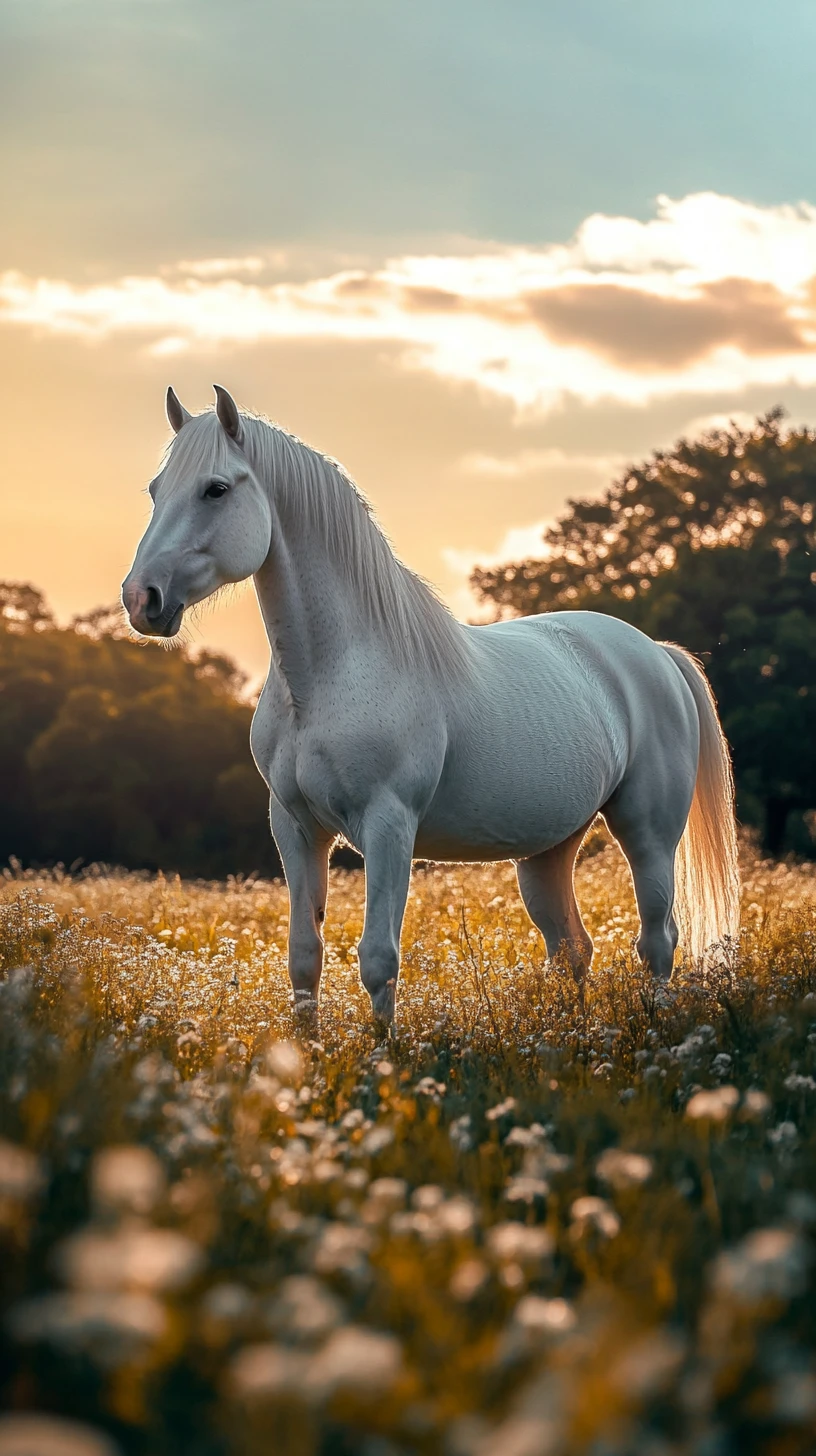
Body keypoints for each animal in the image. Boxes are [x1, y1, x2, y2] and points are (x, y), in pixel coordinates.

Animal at [123, 385, 740, 1026]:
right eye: (156, 489)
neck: (325, 680)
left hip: (648, 833)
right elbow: (303, 959)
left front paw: (382, 1053)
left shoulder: (388, 825)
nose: (142, 600)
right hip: (548, 851)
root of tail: (657, 653)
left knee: (658, 940)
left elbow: (378, 960)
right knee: (572, 947)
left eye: (216, 489)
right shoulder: (295, 829)